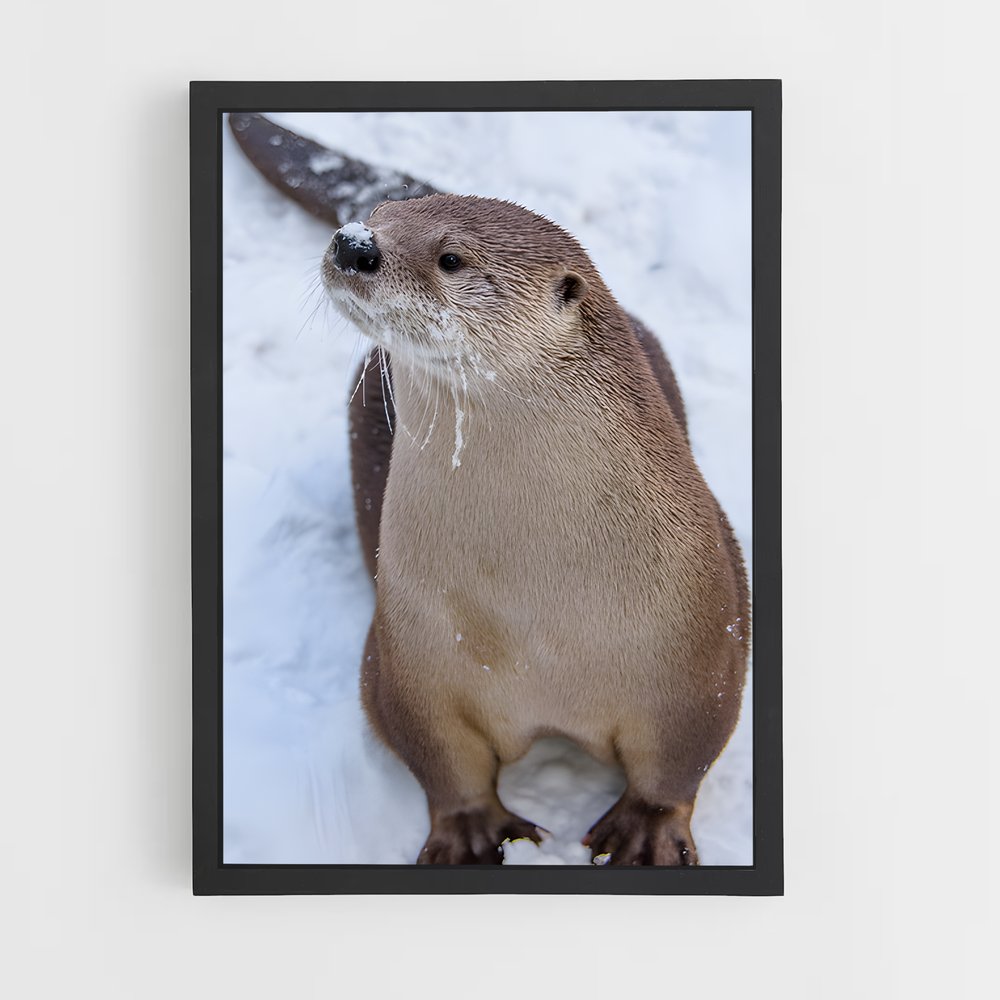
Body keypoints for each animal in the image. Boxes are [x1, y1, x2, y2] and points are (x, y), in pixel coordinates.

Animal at [321, 194, 749, 866]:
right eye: (380, 212)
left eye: (451, 257)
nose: (354, 242)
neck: (532, 616)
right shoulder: (407, 658)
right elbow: (439, 758)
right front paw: (470, 832)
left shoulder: (704, 648)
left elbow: (682, 758)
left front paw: (647, 833)